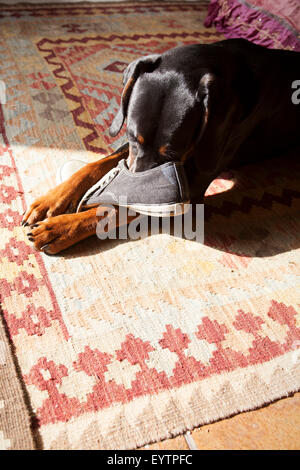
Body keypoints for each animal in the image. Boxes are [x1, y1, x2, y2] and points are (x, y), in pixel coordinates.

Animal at [23, 40, 300, 253]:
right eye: (131, 136)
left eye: (173, 152)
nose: (128, 185)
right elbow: (95, 165)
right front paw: (51, 201)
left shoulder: (192, 184)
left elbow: (120, 209)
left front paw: (60, 228)